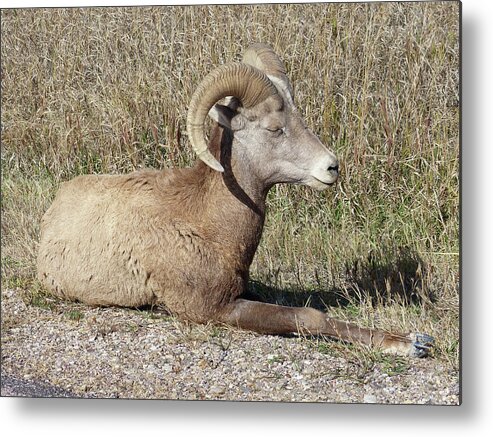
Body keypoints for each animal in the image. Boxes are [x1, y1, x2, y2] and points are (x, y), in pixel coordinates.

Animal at [37, 42, 430, 356]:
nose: (331, 167)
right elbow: (309, 316)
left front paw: (413, 340)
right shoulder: (214, 309)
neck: (207, 225)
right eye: (274, 128)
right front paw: (408, 346)